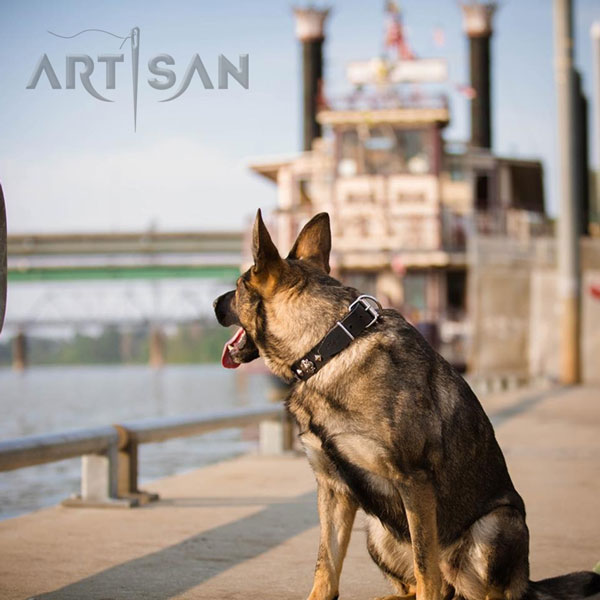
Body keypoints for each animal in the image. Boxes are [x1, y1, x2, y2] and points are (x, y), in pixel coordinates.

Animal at [213, 209, 596, 596]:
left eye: (239, 286)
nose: (214, 303)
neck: (330, 346)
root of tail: (526, 581)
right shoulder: (334, 489)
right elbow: (326, 565)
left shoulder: (413, 481)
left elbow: (426, 567)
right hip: (376, 532)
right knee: (420, 587)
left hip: (497, 525)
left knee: (469, 588)